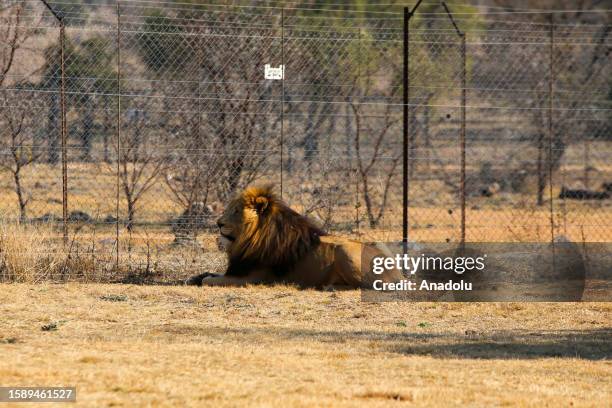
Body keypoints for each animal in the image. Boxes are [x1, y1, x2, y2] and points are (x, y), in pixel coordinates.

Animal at [184, 183, 402, 288]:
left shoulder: (253, 277)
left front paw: (200, 279)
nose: (218, 223)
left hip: (346, 251)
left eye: (236, 211)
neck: (249, 240)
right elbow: (209, 274)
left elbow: (209, 280)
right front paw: (193, 277)